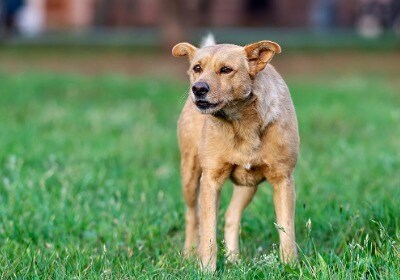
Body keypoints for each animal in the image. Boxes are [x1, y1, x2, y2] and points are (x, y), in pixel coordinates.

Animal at [172, 35, 300, 272]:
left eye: (226, 70)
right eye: (197, 68)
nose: (198, 88)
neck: (241, 124)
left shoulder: (283, 179)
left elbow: (286, 230)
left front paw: (290, 267)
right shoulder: (210, 179)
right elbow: (208, 233)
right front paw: (206, 270)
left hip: (248, 186)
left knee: (231, 216)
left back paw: (233, 259)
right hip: (190, 175)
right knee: (192, 217)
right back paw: (189, 254)